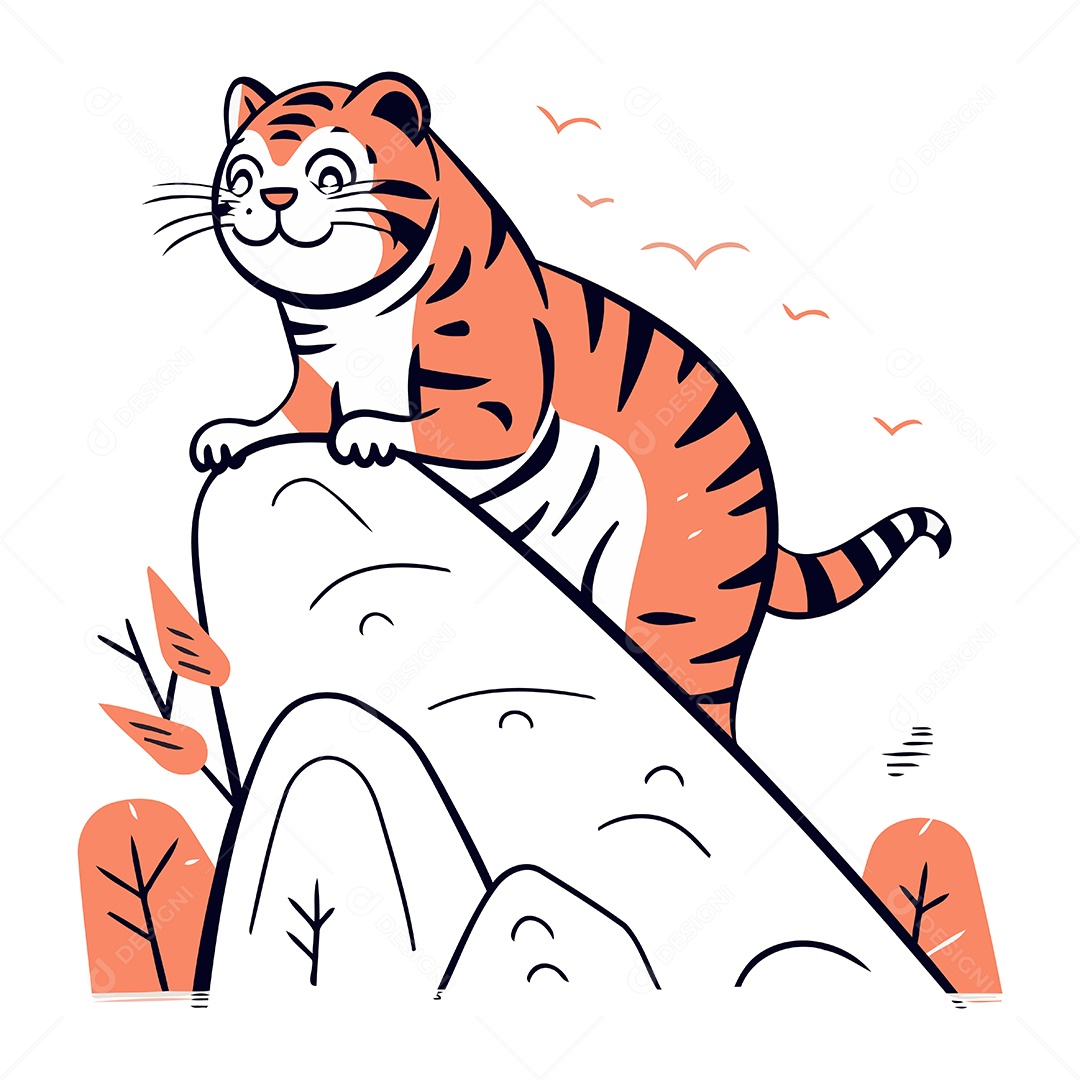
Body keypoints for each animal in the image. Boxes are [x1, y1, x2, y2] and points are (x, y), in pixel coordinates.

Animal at [161, 72, 951, 740]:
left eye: (329, 172)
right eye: (243, 174)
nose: (272, 200)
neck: (344, 309)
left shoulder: (495, 399)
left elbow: (433, 425)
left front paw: (367, 434)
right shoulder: (316, 377)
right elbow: (285, 416)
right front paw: (230, 433)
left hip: (681, 608)